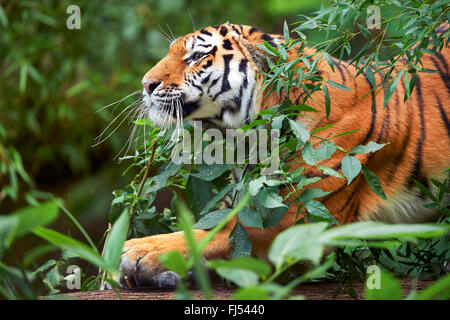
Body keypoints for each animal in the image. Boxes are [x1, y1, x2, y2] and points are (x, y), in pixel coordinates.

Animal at [117, 22, 450, 288]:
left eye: (197, 57)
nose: (146, 84)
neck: (245, 142)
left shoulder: (296, 217)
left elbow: (219, 231)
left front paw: (139, 251)